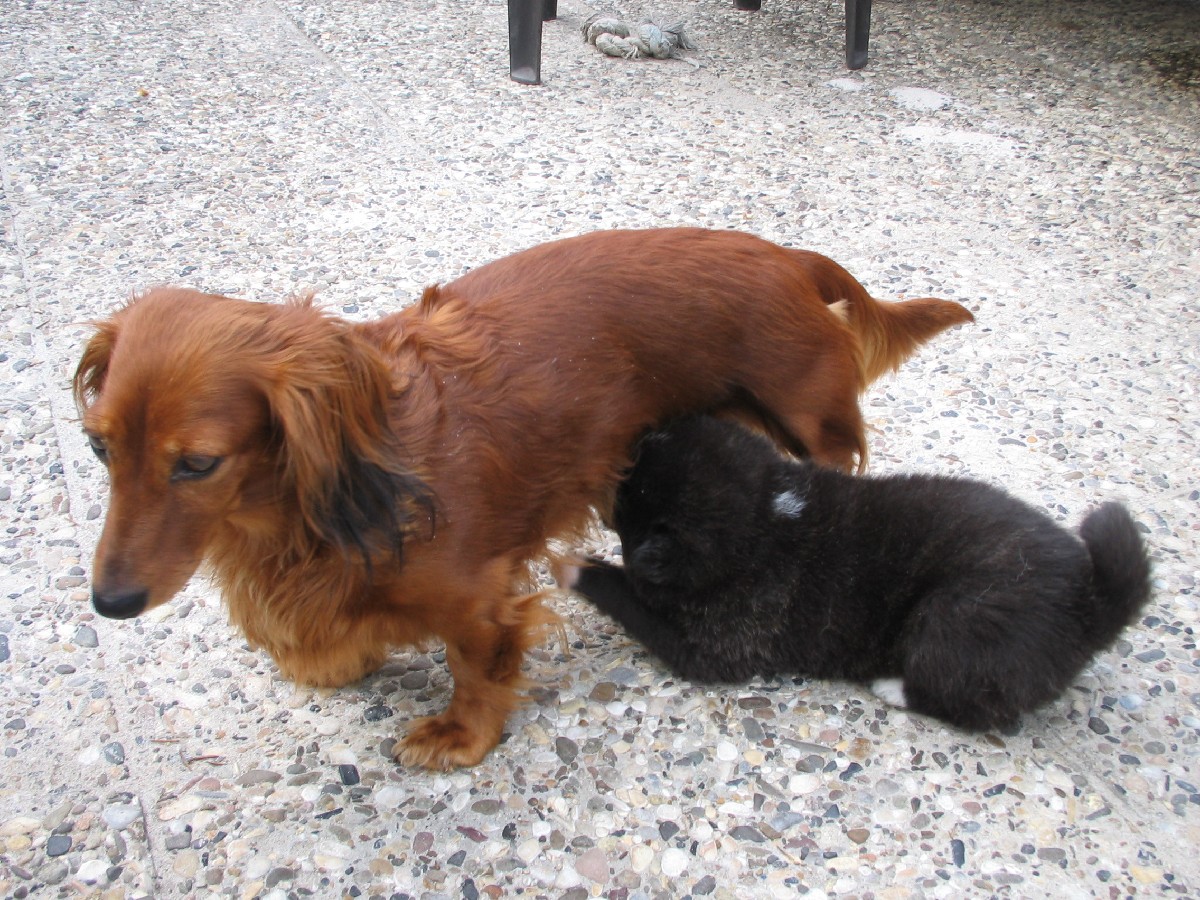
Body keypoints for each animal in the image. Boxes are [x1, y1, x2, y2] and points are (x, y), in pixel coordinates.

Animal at [73, 227, 973, 768]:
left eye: (197, 464)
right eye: (97, 446)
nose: (109, 604)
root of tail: (787, 255)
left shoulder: (480, 596)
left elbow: (476, 667)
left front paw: (461, 737)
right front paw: (342, 659)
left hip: (807, 417)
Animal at [567, 415, 1152, 733]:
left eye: (623, 497)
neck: (762, 512)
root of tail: (1091, 605)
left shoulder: (713, 646)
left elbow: (627, 596)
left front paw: (574, 568)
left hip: (958, 617)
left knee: (966, 699)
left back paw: (894, 687)